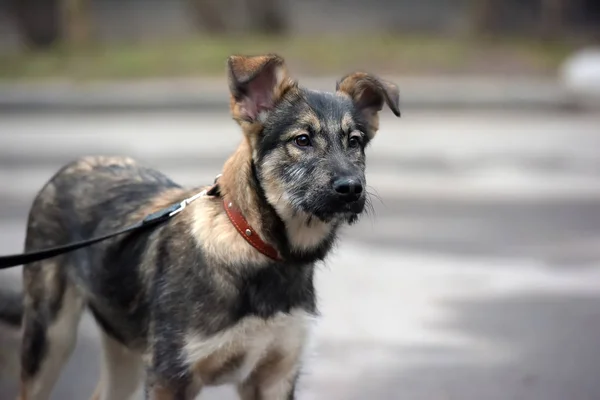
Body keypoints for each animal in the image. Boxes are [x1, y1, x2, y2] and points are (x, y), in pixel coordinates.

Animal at [1, 54, 404, 400]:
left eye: (355, 142)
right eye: (302, 140)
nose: (351, 189)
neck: (259, 248)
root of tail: (73, 165)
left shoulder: (275, 376)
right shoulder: (170, 377)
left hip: (123, 350)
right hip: (49, 338)